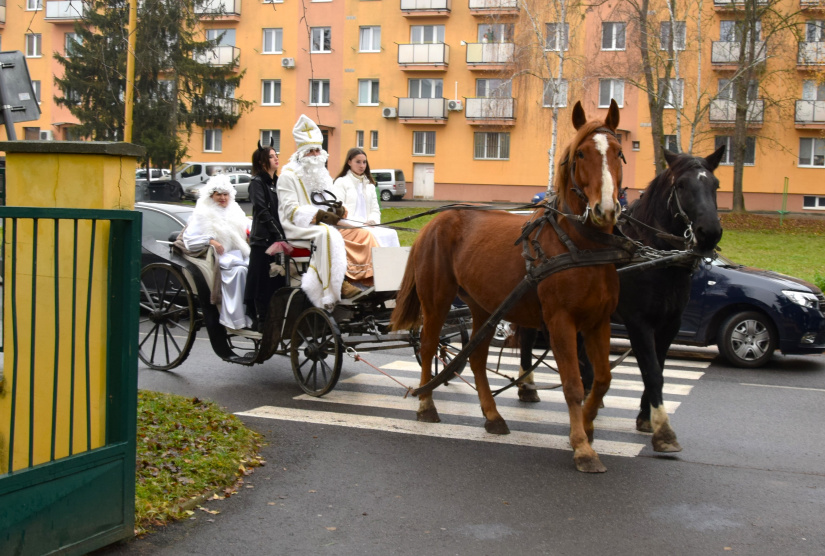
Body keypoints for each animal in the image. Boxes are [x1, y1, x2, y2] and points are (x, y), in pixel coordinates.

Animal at [392, 101, 624, 474]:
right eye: (581, 154)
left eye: (618, 152)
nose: (605, 208)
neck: (579, 246)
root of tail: (434, 222)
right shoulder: (561, 323)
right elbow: (573, 384)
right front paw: (582, 446)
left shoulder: (598, 322)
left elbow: (601, 380)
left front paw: (587, 427)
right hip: (438, 300)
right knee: (428, 347)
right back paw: (426, 404)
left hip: (484, 307)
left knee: (475, 358)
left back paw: (492, 415)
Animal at [520, 146, 724, 454]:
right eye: (681, 185)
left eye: (715, 185)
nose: (709, 232)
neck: (655, 256)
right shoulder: (638, 323)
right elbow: (652, 371)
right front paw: (663, 430)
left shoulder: (671, 324)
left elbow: (658, 367)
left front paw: (645, 416)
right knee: (526, 337)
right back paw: (527, 385)